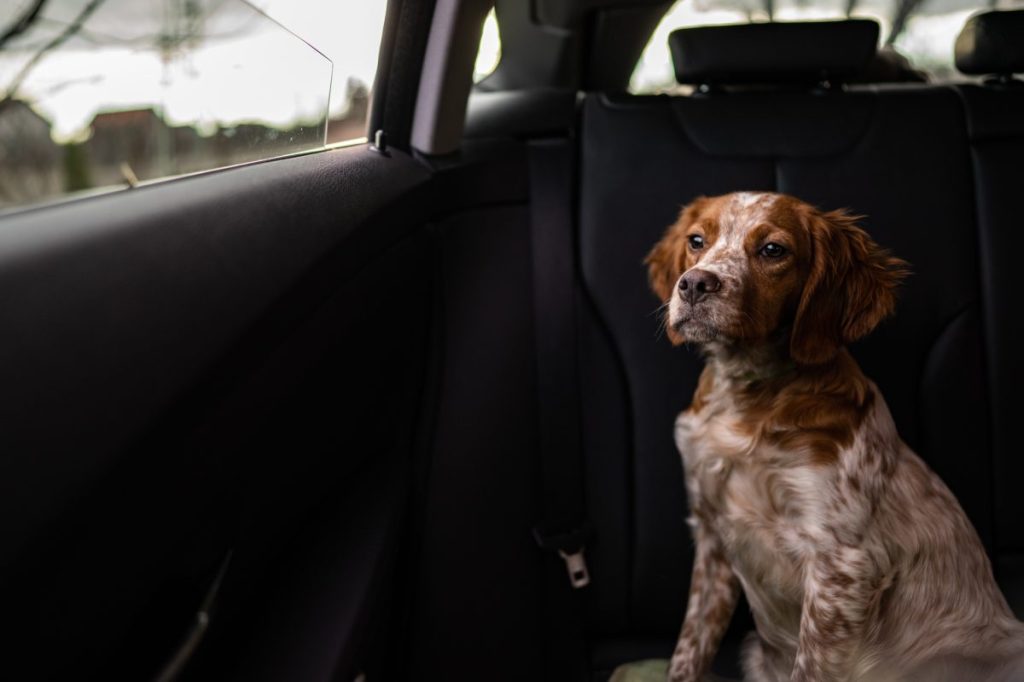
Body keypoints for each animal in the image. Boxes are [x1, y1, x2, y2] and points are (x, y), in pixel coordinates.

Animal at [647, 191, 1024, 679]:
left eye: (773, 250)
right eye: (697, 240)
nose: (694, 284)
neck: (749, 398)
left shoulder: (839, 564)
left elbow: (810, 665)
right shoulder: (712, 538)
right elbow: (689, 648)